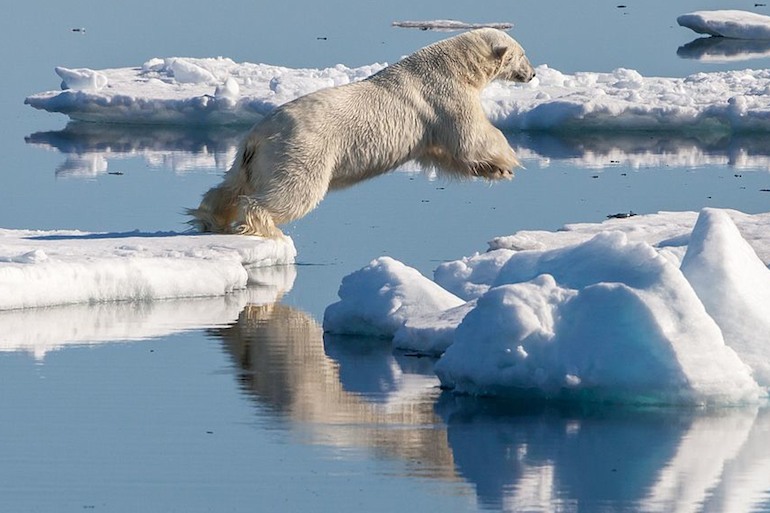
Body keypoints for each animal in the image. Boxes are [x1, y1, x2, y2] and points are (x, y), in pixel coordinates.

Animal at [188, 28, 536, 236]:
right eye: (523, 55)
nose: (532, 74)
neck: (452, 65)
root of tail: (256, 136)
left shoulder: (429, 124)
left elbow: (443, 153)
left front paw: (495, 170)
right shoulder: (444, 96)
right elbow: (470, 136)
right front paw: (508, 160)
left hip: (251, 157)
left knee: (232, 184)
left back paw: (209, 218)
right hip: (300, 149)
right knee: (291, 192)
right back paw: (265, 226)